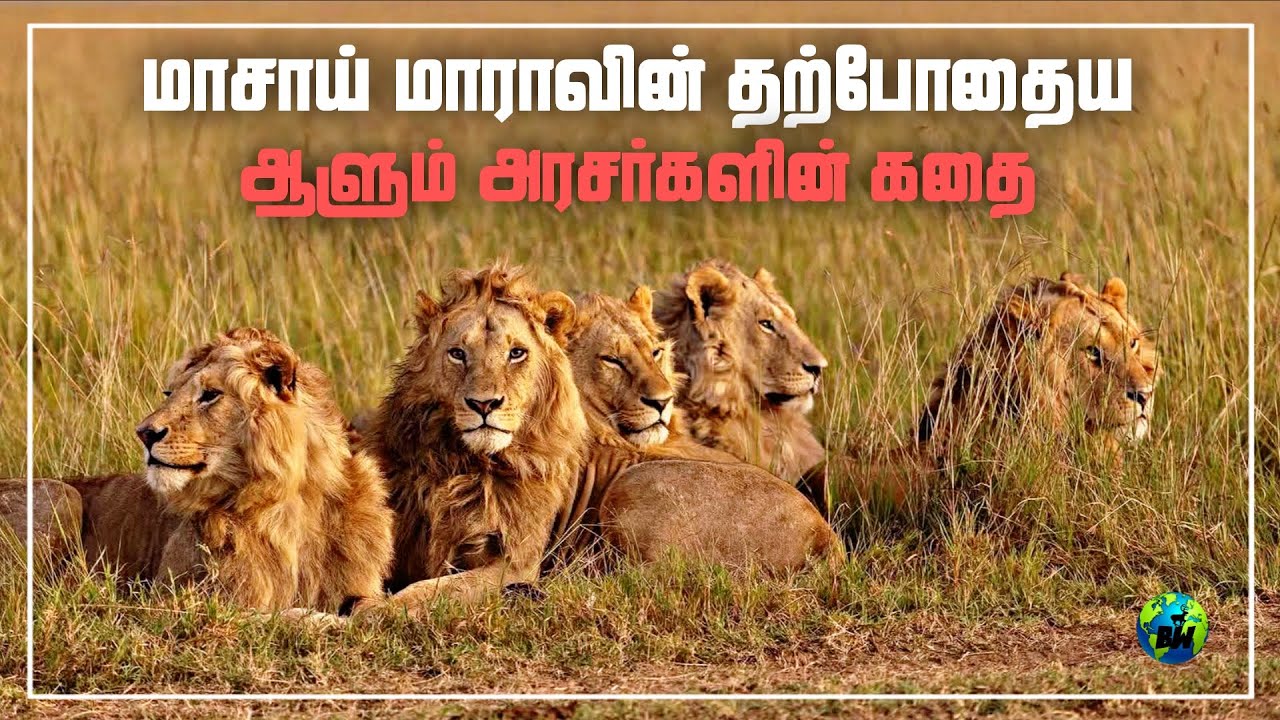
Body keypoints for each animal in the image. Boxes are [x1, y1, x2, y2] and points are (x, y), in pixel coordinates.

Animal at [14, 328, 395, 614]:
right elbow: (285, 614)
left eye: (210, 395)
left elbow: (372, 605)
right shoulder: (179, 600)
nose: (144, 433)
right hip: (62, 494)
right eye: (169, 393)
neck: (286, 503)